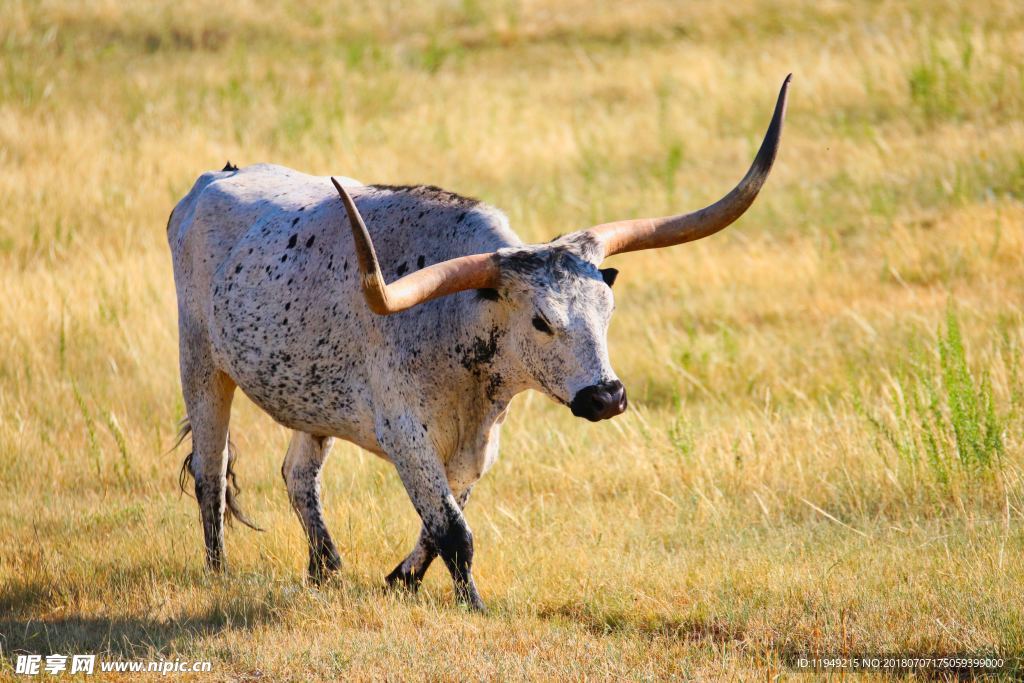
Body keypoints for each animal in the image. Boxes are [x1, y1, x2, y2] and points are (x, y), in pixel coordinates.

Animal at [167, 77, 790, 610]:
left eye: (608, 311)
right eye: (540, 321)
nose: (607, 397)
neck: (456, 323)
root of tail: (212, 180)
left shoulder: (478, 443)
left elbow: (440, 522)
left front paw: (400, 580)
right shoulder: (405, 434)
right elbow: (452, 530)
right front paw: (474, 605)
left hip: (311, 400)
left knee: (299, 476)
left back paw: (325, 569)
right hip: (200, 361)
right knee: (210, 470)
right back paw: (218, 571)